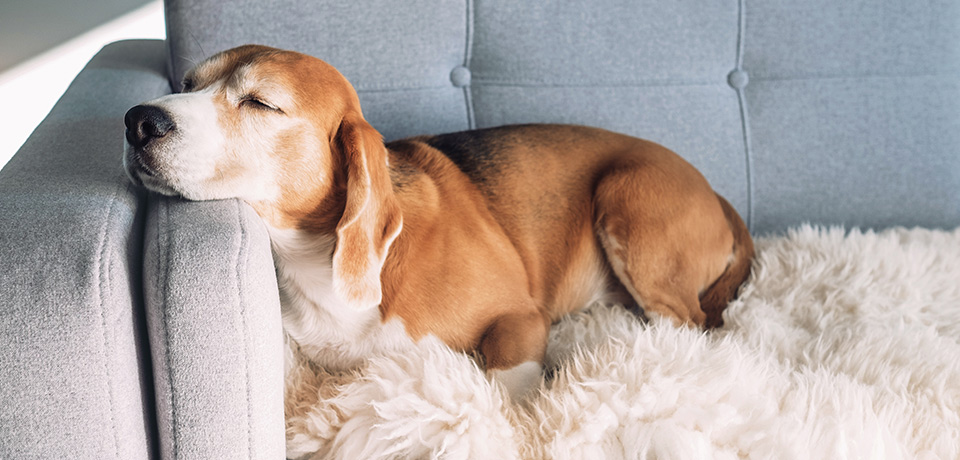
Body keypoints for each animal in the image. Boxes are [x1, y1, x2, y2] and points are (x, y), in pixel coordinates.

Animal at [124, 45, 752, 400]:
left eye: (260, 103)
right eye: (186, 84)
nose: (137, 120)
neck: (313, 259)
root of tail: (717, 195)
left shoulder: (520, 319)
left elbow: (504, 385)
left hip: (626, 199)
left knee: (690, 324)